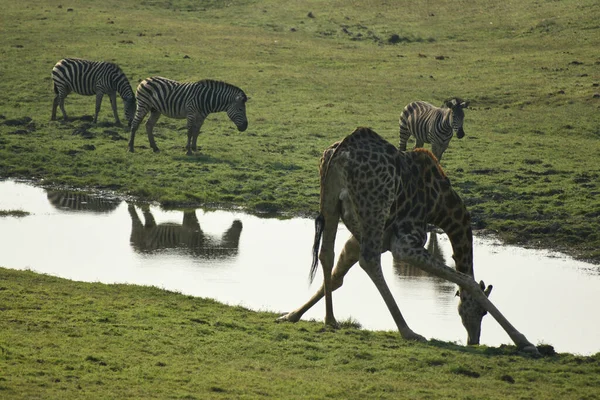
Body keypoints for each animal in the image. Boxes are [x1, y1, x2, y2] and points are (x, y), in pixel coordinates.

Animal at [280, 127, 540, 354]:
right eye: (479, 312)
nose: (473, 340)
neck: (442, 207)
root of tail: (342, 150)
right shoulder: (406, 241)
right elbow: (468, 280)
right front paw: (524, 342)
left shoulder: (360, 239)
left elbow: (336, 276)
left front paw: (291, 315)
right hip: (375, 208)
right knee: (369, 261)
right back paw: (409, 331)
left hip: (331, 203)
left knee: (326, 253)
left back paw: (331, 319)